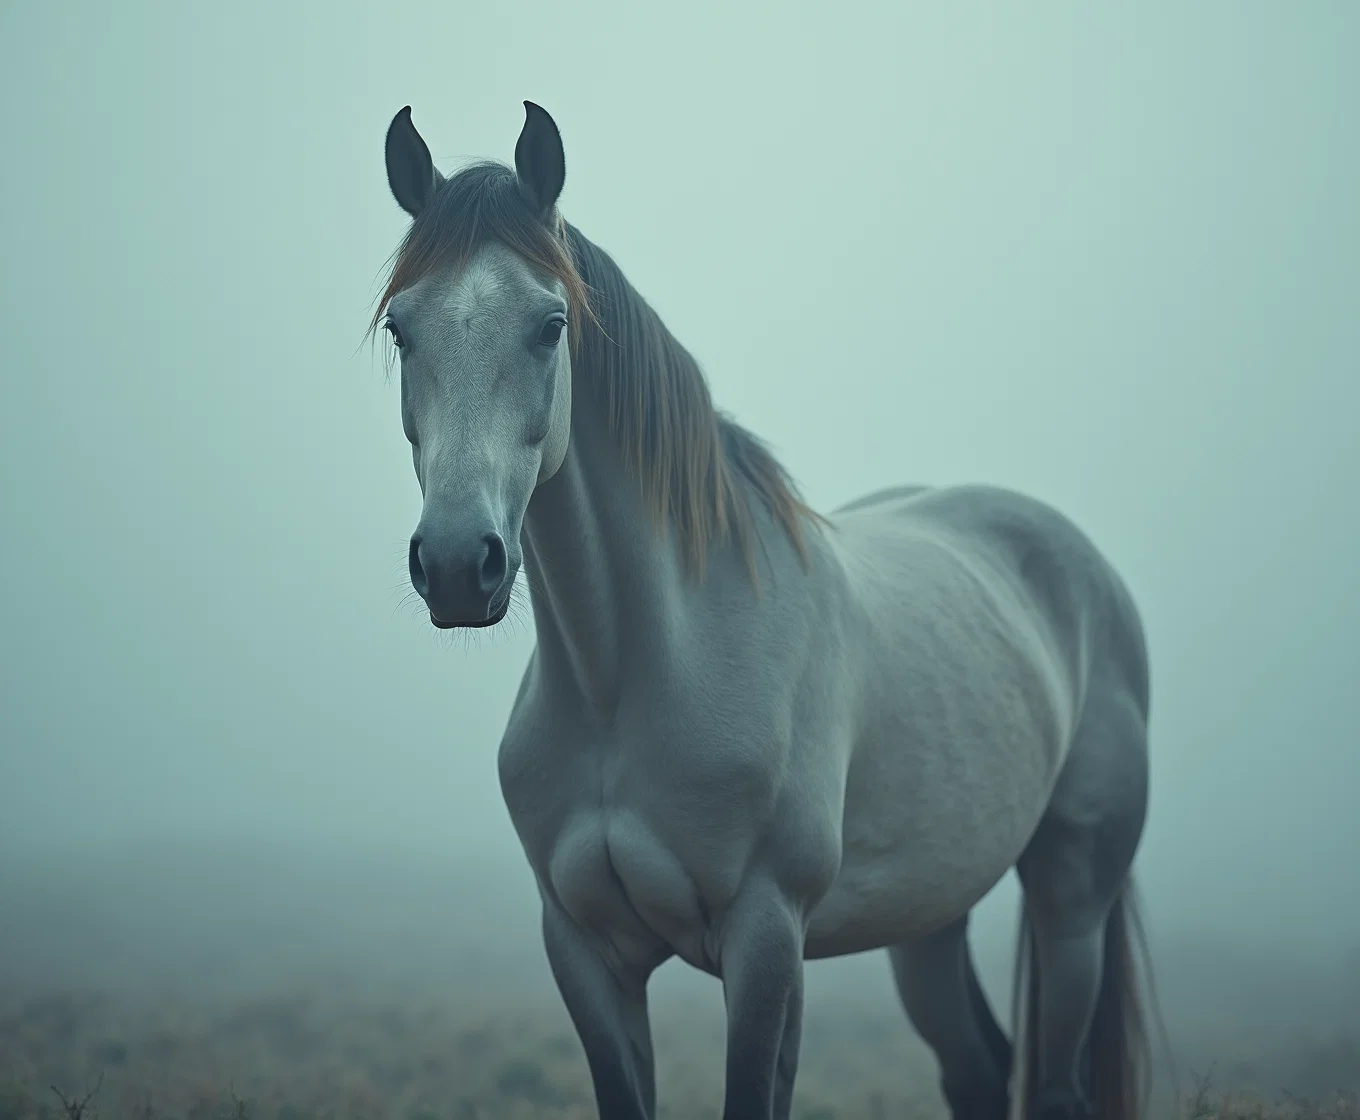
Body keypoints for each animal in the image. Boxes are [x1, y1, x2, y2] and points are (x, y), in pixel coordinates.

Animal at [372, 98, 1158, 1120]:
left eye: (550, 325)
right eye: (401, 329)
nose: (459, 566)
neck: (632, 677)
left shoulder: (765, 937)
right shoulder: (585, 951)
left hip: (1072, 904)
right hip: (929, 918)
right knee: (980, 1070)